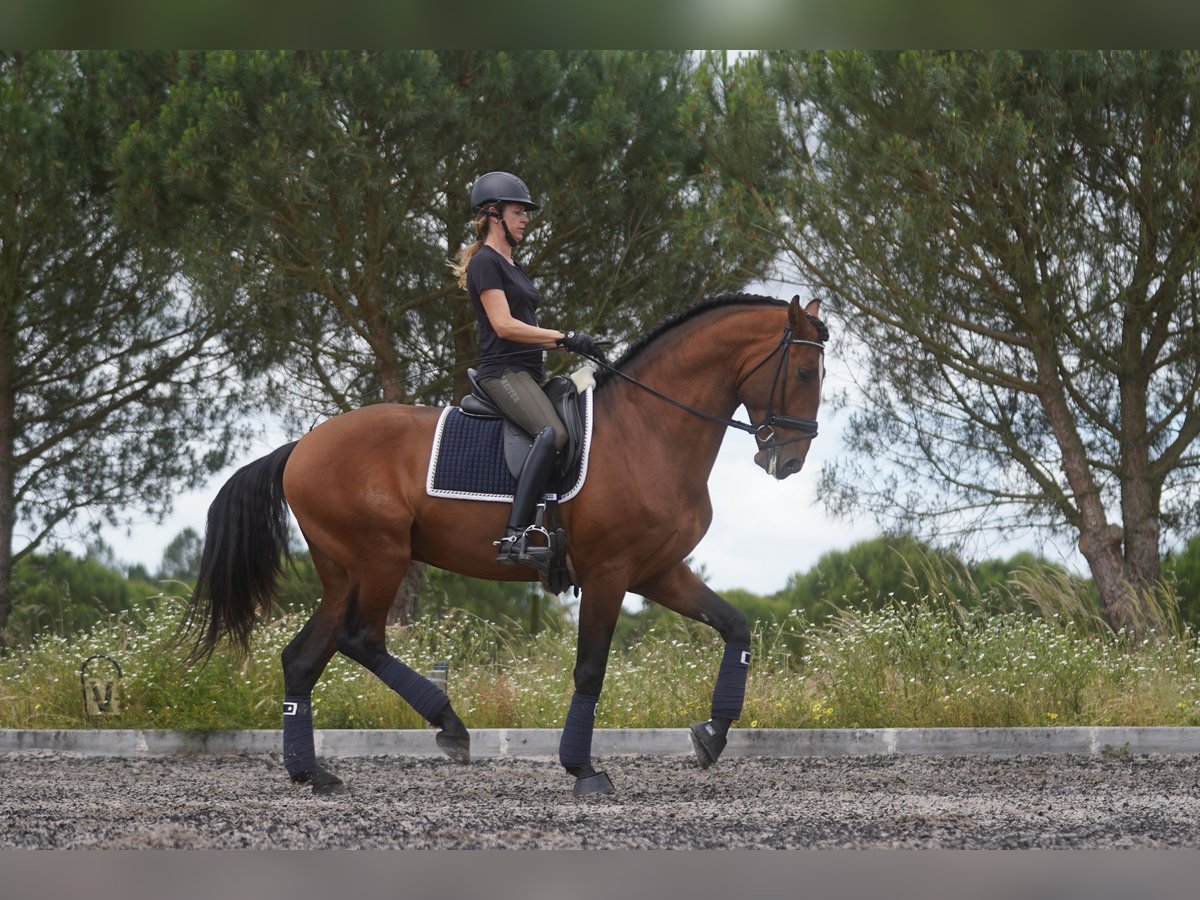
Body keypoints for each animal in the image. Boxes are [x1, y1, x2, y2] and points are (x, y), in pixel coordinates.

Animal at [184, 294, 825, 796]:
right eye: (803, 374)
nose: (789, 461)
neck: (650, 429)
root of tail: (302, 444)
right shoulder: (610, 572)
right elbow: (590, 669)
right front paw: (583, 770)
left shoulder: (657, 571)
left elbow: (735, 626)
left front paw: (712, 735)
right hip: (380, 557)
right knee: (359, 638)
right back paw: (449, 726)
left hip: (342, 569)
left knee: (303, 658)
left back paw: (311, 773)